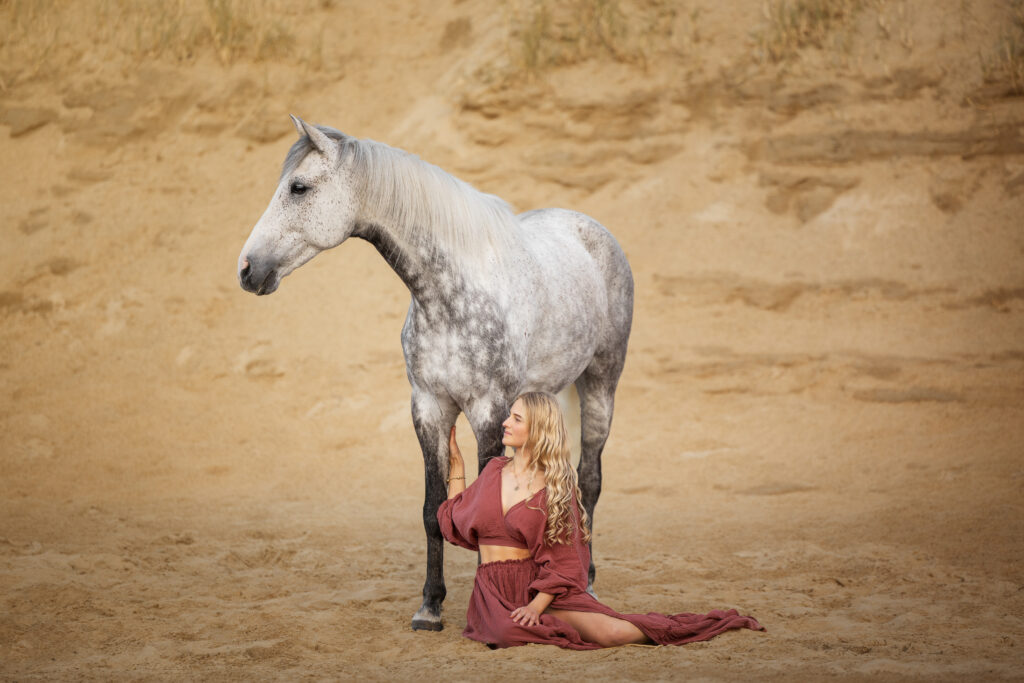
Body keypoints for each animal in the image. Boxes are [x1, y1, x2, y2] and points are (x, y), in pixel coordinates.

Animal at [237, 116, 634, 631]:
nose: (247, 269)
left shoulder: (489, 410)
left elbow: (491, 506)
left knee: (589, 482)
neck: (452, 294)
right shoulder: (428, 407)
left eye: (298, 187)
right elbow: (432, 508)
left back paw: (584, 580)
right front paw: (430, 605)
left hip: (601, 384)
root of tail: (591, 229)